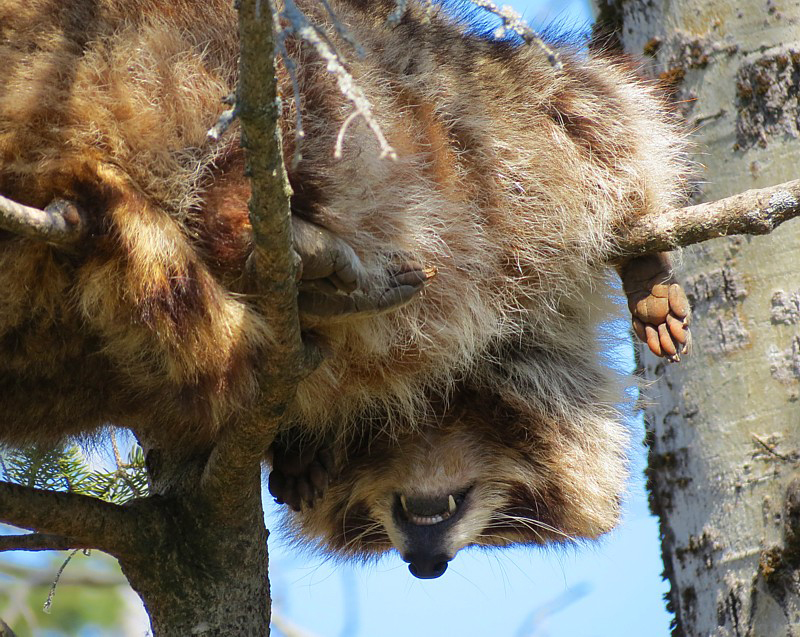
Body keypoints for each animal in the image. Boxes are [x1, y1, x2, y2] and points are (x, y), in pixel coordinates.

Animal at [0, 0, 688, 572]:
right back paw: (251, 221)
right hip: (173, 54)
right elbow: (601, 115)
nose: (426, 566)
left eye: (509, 527)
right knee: (300, 94)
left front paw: (301, 444)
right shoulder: (493, 113)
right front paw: (647, 257)